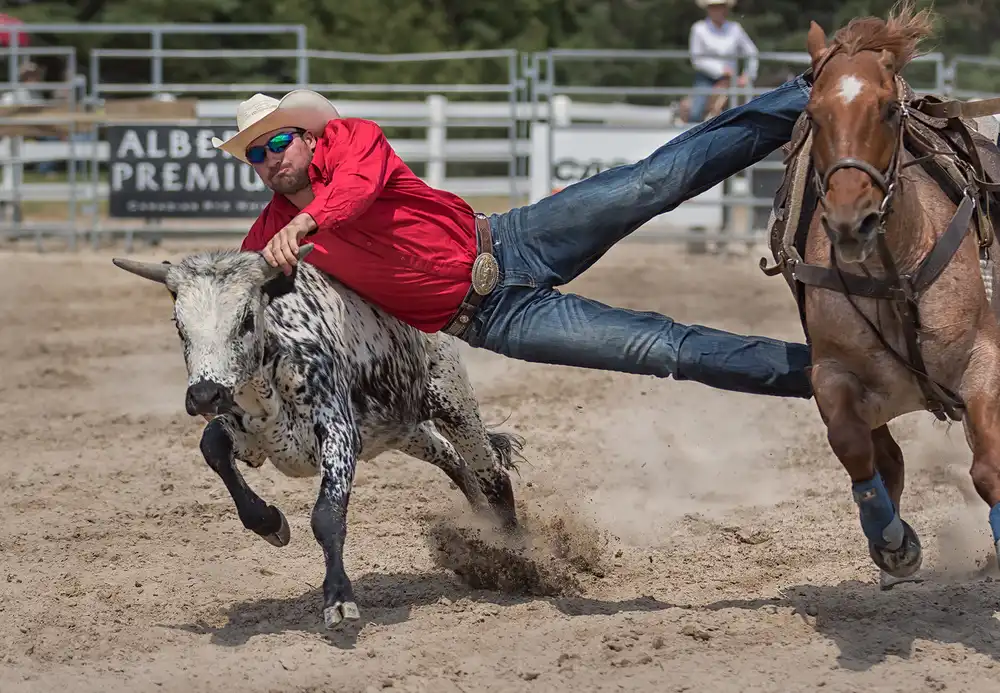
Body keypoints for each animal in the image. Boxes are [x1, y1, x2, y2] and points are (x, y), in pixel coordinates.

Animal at [112, 244, 523, 629]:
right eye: (179, 325)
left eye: (245, 320)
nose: (203, 394)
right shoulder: (246, 434)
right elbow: (212, 447)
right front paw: (271, 523)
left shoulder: (339, 435)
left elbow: (327, 516)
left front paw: (339, 600)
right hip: (405, 430)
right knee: (452, 460)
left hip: (454, 403)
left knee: (493, 477)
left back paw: (514, 554)